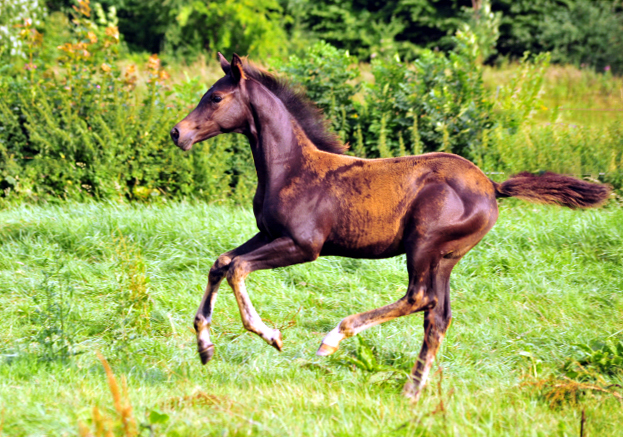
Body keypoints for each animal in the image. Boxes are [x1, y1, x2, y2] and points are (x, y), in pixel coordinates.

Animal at [171, 52, 608, 400]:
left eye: (216, 97)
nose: (178, 133)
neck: (290, 167)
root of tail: (491, 186)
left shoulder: (303, 245)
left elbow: (238, 268)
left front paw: (271, 335)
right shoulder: (268, 233)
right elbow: (221, 262)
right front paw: (205, 347)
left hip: (424, 245)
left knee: (419, 298)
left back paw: (334, 340)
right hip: (445, 258)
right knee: (438, 315)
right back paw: (412, 389)